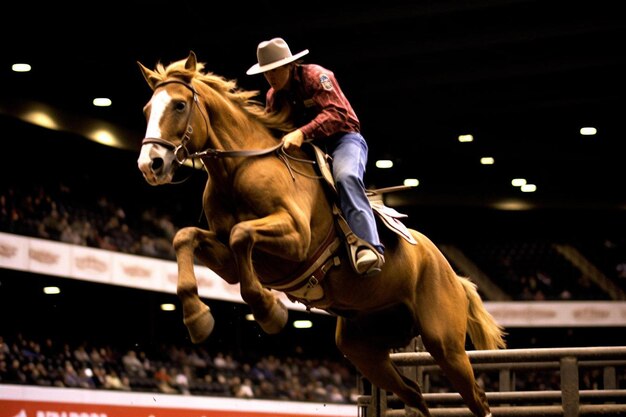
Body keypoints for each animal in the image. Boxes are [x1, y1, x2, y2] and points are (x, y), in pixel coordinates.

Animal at [138, 52, 508, 416]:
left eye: (179, 105)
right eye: (147, 109)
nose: (150, 165)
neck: (239, 169)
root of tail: (451, 273)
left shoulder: (296, 238)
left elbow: (242, 235)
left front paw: (269, 311)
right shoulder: (227, 259)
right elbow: (186, 237)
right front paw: (197, 317)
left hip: (446, 346)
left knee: (477, 399)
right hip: (365, 350)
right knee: (414, 395)